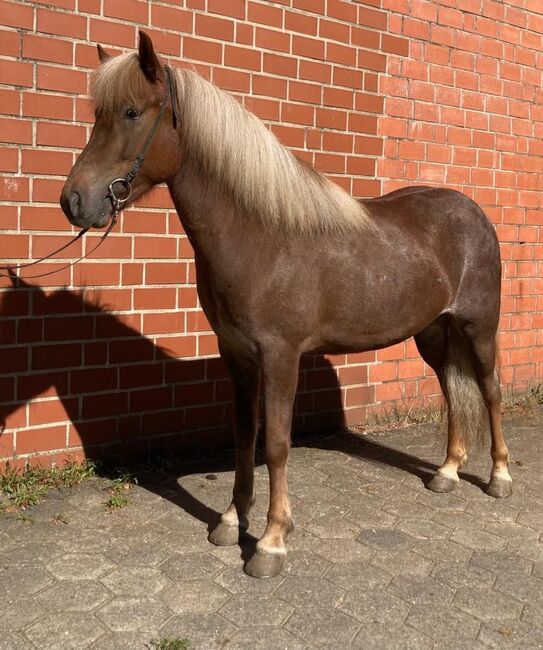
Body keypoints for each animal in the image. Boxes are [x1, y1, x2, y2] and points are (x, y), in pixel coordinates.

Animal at [61, 31, 512, 576]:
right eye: (98, 114)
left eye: (130, 112)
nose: (74, 201)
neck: (260, 236)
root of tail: (473, 214)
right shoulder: (237, 355)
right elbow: (242, 437)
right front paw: (231, 520)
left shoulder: (280, 356)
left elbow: (275, 445)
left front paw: (271, 542)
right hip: (432, 333)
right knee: (451, 387)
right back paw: (446, 472)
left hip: (479, 327)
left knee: (489, 390)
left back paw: (500, 478)